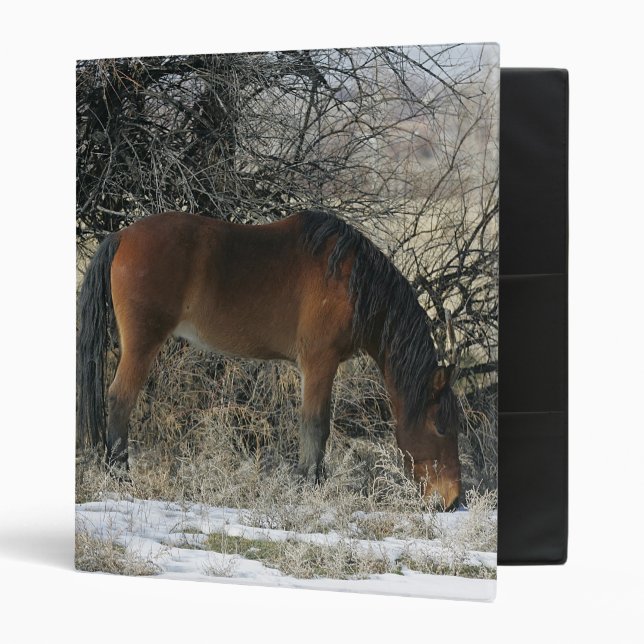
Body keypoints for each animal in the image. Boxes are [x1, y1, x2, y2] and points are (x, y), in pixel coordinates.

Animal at [76, 209, 462, 508]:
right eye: (441, 426)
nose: (453, 500)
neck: (352, 280)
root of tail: (122, 236)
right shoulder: (319, 362)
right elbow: (316, 425)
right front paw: (309, 485)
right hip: (142, 344)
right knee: (121, 399)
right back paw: (120, 474)